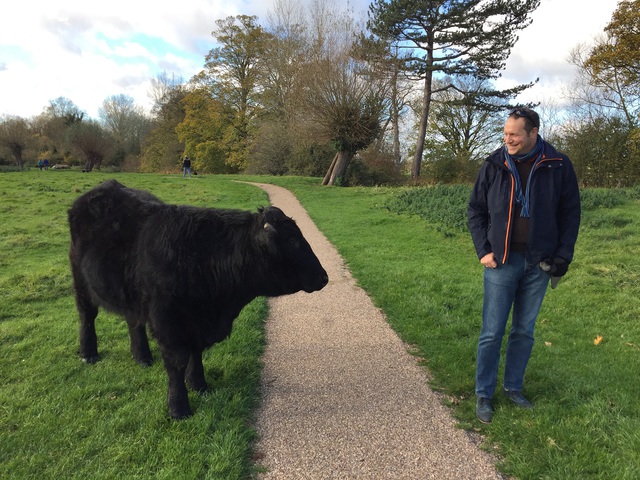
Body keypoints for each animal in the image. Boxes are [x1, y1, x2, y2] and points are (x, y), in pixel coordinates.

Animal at [69, 178, 330, 418]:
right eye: (293, 241)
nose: (324, 277)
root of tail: (104, 186)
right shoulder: (168, 322)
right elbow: (177, 362)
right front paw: (178, 407)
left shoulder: (197, 322)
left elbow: (196, 353)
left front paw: (199, 385)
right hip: (81, 281)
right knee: (87, 315)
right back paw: (88, 353)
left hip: (132, 294)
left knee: (134, 322)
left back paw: (142, 357)